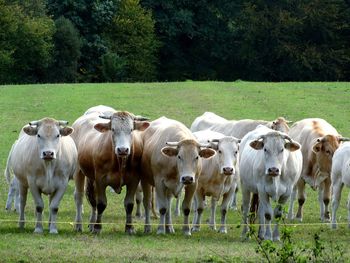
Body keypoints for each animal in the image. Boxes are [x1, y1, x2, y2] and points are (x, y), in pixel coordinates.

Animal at [72, 106, 150, 234]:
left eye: (131, 130)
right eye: (113, 129)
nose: (122, 149)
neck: (119, 162)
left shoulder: (133, 180)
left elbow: (129, 204)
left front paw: (129, 228)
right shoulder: (100, 180)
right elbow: (101, 204)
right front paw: (98, 227)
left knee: (93, 200)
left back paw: (91, 223)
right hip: (78, 171)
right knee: (80, 196)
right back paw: (79, 225)